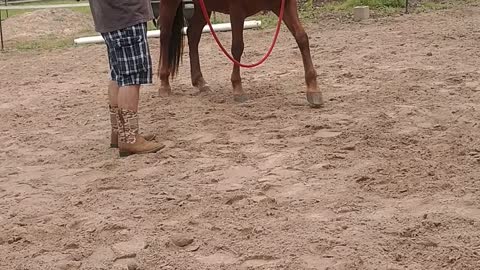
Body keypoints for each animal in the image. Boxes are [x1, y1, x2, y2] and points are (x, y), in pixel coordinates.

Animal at [157, 0, 322, 107]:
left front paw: (313, 89)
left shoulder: (286, 5)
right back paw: (164, 85)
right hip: (169, 2)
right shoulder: (236, 10)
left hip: (203, 7)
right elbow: (237, 47)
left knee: (193, 34)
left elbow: (302, 38)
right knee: (165, 35)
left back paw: (200, 82)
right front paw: (238, 89)